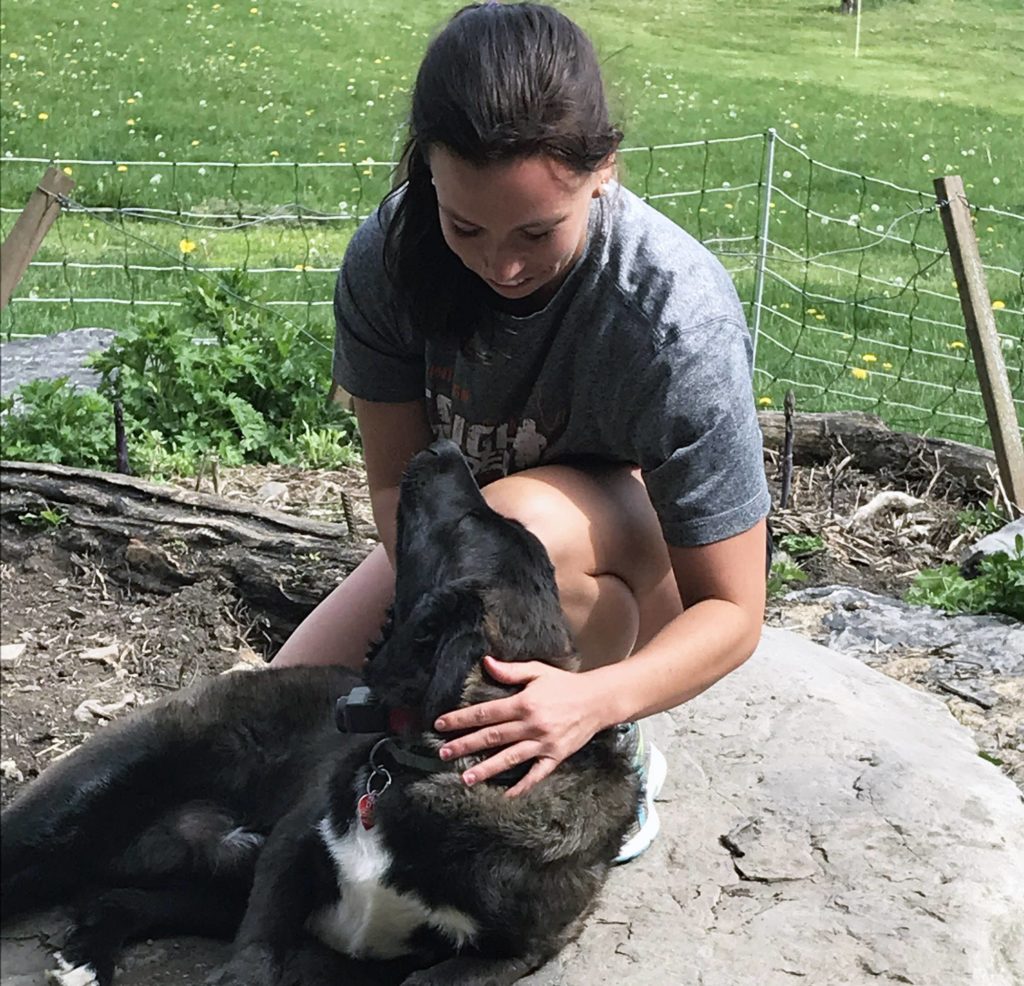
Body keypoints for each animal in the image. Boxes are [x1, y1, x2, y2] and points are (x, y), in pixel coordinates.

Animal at [0, 442, 634, 986]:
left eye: (468, 526)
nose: (443, 448)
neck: (427, 768)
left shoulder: (508, 955)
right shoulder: (286, 855)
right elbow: (254, 956)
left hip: (210, 885)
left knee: (118, 899)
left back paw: (89, 957)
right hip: (80, 809)